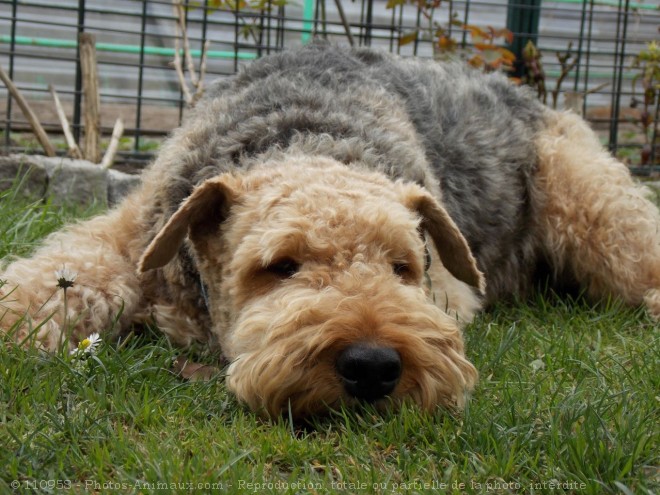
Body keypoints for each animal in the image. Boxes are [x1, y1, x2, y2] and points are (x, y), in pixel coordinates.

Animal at [1, 43, 660, 418]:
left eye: (403, 266)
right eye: (281, 265)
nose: (372, 367)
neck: (309, 137)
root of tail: (521, 92)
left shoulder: (450, 293)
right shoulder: (129, 240)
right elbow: (52, 280)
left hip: (596, 213)